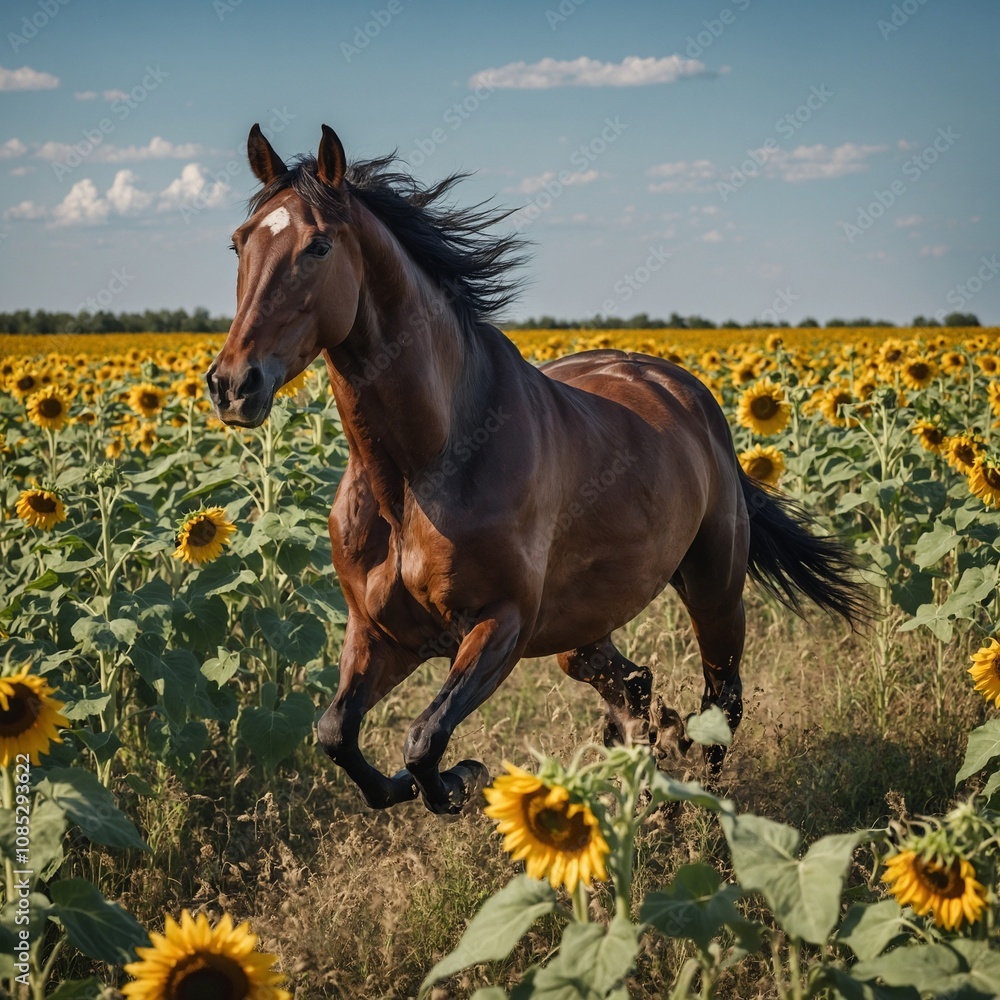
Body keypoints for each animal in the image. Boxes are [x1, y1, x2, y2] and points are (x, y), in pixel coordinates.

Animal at [207, 124, 870, 814]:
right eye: (238, 243)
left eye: (318, 246)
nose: (232, 386)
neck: (420, 473)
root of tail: (683, 388)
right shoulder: (380, 634)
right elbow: (336, 734)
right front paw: (421, 785)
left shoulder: (502, 625)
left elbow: (423, 738)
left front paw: (463, 779)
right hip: (584, 628)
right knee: (634, 687)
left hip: (715, 590)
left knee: (721, 704)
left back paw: (698, 800)